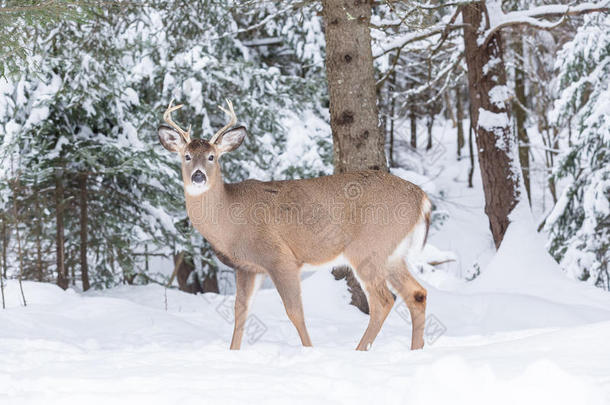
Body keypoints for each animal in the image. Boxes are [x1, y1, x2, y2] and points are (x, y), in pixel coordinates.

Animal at [159, 100, 430, 350]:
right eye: (186, 156)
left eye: (212, 157)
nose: (198, 176)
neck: (230, 222)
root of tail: (421, 197)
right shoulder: (248, 268)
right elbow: (241, 312)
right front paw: (233, 353)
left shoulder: (280, 258)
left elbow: (294, 312)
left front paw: (309, 350)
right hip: (392, 254)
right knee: (417, 294)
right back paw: (415, 349)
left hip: (368, 248)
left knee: (383, 301)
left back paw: (360, 350)